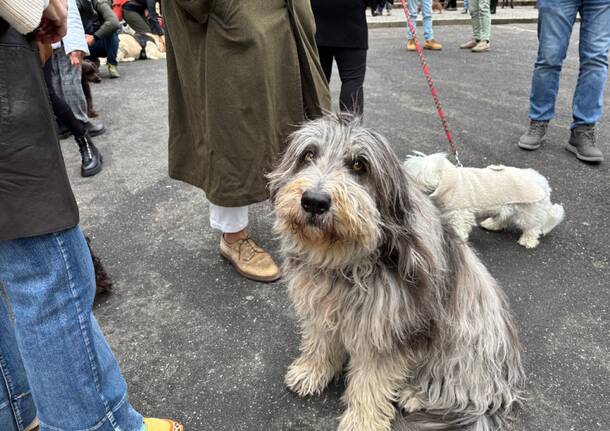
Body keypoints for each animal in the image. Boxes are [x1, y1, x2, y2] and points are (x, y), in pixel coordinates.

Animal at [268, 115, 524, 431]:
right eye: (308, 155)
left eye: (359, 165)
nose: (314, 201)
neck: (347, 260)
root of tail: (502, 384)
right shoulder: (322, 306)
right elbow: (319, 341)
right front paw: (311, 371)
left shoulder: (389, 327)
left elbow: (372, 381)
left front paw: (362, 420)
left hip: (465, 342)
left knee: (460, 390)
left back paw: (415, 394)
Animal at [402, 153, 564, 248]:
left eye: (410, 173)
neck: (447, 182)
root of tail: (542, 181)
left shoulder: (460, 214)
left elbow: (459, 229)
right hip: (509, 205)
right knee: (505, 218)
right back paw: (492, 224)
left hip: (528, 211)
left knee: (533, 227)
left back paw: (528, 241)